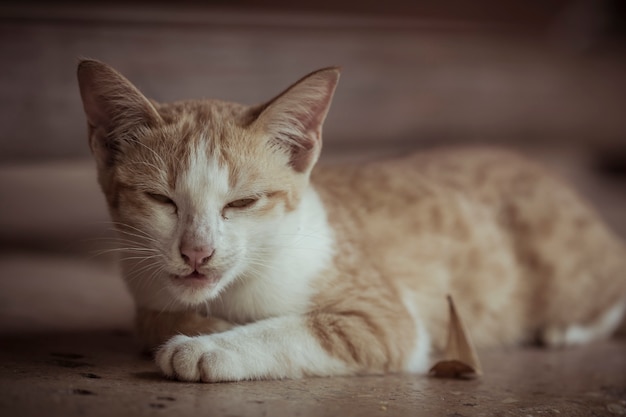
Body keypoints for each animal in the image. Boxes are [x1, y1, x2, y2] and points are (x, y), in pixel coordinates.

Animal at [77, 58, 624, 380]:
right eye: (161, 199)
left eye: (242, 203)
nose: (198, 251)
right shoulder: (147, 289)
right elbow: (153, 317)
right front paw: (194, 326)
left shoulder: (387, 319)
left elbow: (301, 328)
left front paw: (209, 349)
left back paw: (566, 330)